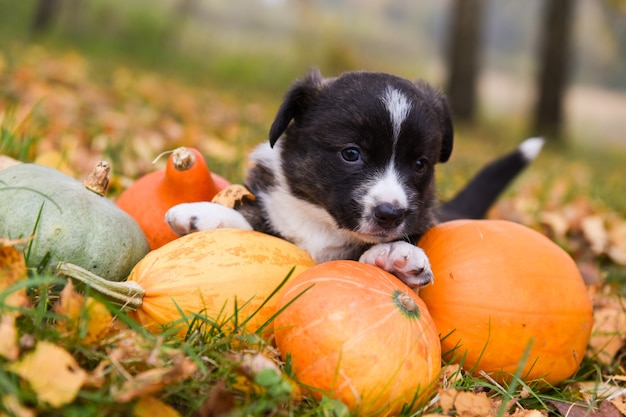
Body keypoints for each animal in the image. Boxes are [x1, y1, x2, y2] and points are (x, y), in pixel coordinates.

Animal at [166, 69, 540, 290]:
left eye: (420, 164)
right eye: (351, 154)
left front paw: (396, 256)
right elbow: (254, 223)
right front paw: (204, 215)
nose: (391, 214)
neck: (324, 225)